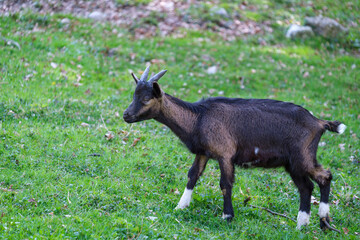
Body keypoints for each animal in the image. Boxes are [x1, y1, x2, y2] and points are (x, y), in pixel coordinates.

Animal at [123, 66, 346, 231]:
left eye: (146, 99)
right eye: (133, 95)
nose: (126, 115)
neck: (199, 118)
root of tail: (319, 123)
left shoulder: (225, 154)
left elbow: (225, 183)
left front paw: (227, 216)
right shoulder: (203, 152)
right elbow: (193, 175)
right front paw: (181, 206)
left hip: (301, 157)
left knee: (323, 177)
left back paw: (317, 222)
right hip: (294, 163)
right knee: (307, 186)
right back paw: (309, 224)